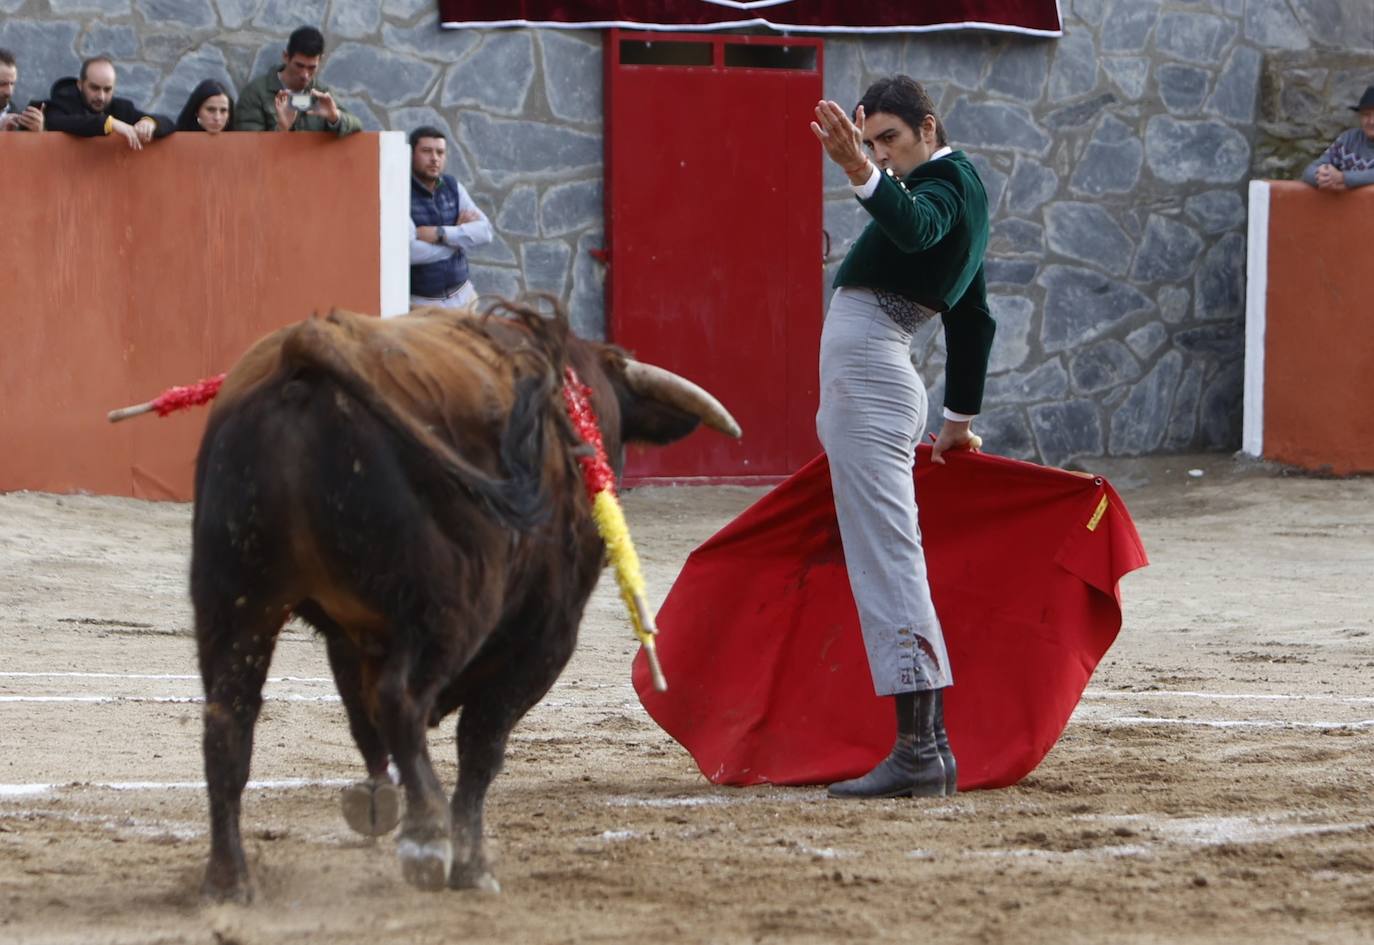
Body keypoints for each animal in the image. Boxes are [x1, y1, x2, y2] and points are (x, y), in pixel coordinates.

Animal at [193, 302, 741, 901]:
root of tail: (308, 351)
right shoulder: (546, 636)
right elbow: (481, 746)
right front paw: (471, 864)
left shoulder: (351, 635)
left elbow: (369, 725)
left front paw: (380, 805)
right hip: (449, 607)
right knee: (401, 700)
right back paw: (427, 839)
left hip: (237, 599)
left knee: (228, 721)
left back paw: (229, 878)